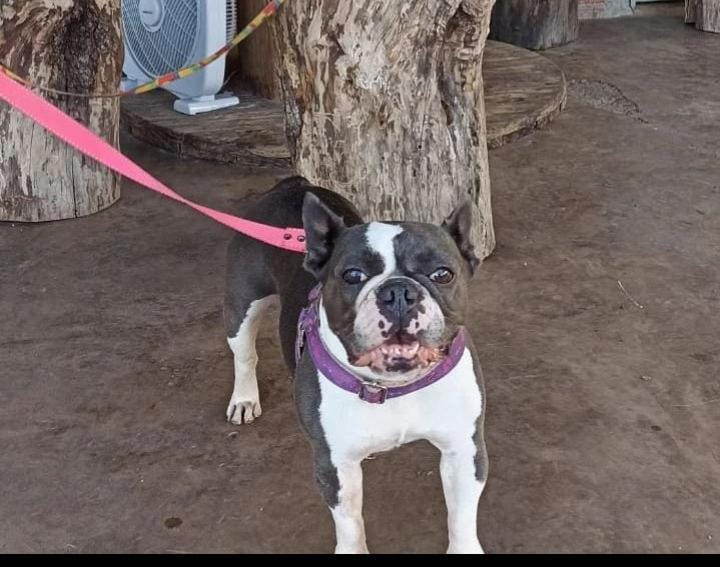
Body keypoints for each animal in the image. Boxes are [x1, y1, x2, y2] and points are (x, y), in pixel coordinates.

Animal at [223, 176, 487, 554]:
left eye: (443, 274)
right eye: (352, 275)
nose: (398, 291)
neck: (393, 388)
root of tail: (289, 185)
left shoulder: (464, 448)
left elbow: (461, 517)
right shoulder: (335, 465)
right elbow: (349, 523)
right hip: (242, 305)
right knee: (244, 353)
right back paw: (244, 398)